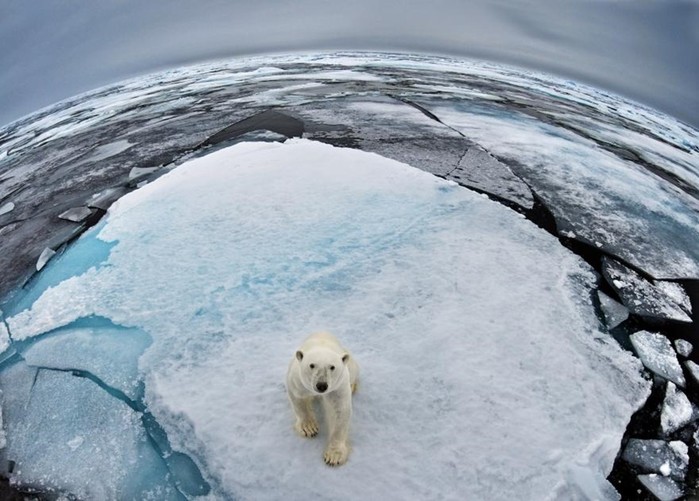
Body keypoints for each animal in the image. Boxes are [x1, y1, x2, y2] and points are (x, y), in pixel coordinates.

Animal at [286, 332, 358, 464]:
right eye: (312, 365)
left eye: (332, 367)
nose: (322, 385)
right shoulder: (298, 379)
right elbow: (298, 399)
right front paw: (309, 428)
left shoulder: (338, 386)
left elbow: (339, 410)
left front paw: (334, 456)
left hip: (350, 364)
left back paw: (353, 386)